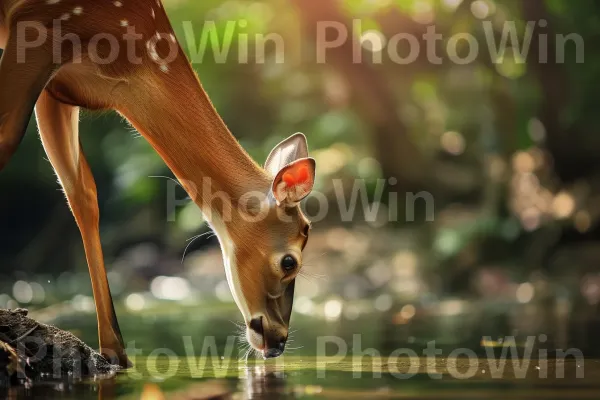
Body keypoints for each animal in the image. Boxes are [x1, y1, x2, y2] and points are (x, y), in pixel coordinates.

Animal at [0, 0, 316, 368]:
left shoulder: (58, 92)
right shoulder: (39, 25)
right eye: (289, 262)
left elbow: (83, 193)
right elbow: (7, 138)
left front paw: (116, 355)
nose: (278, 340)